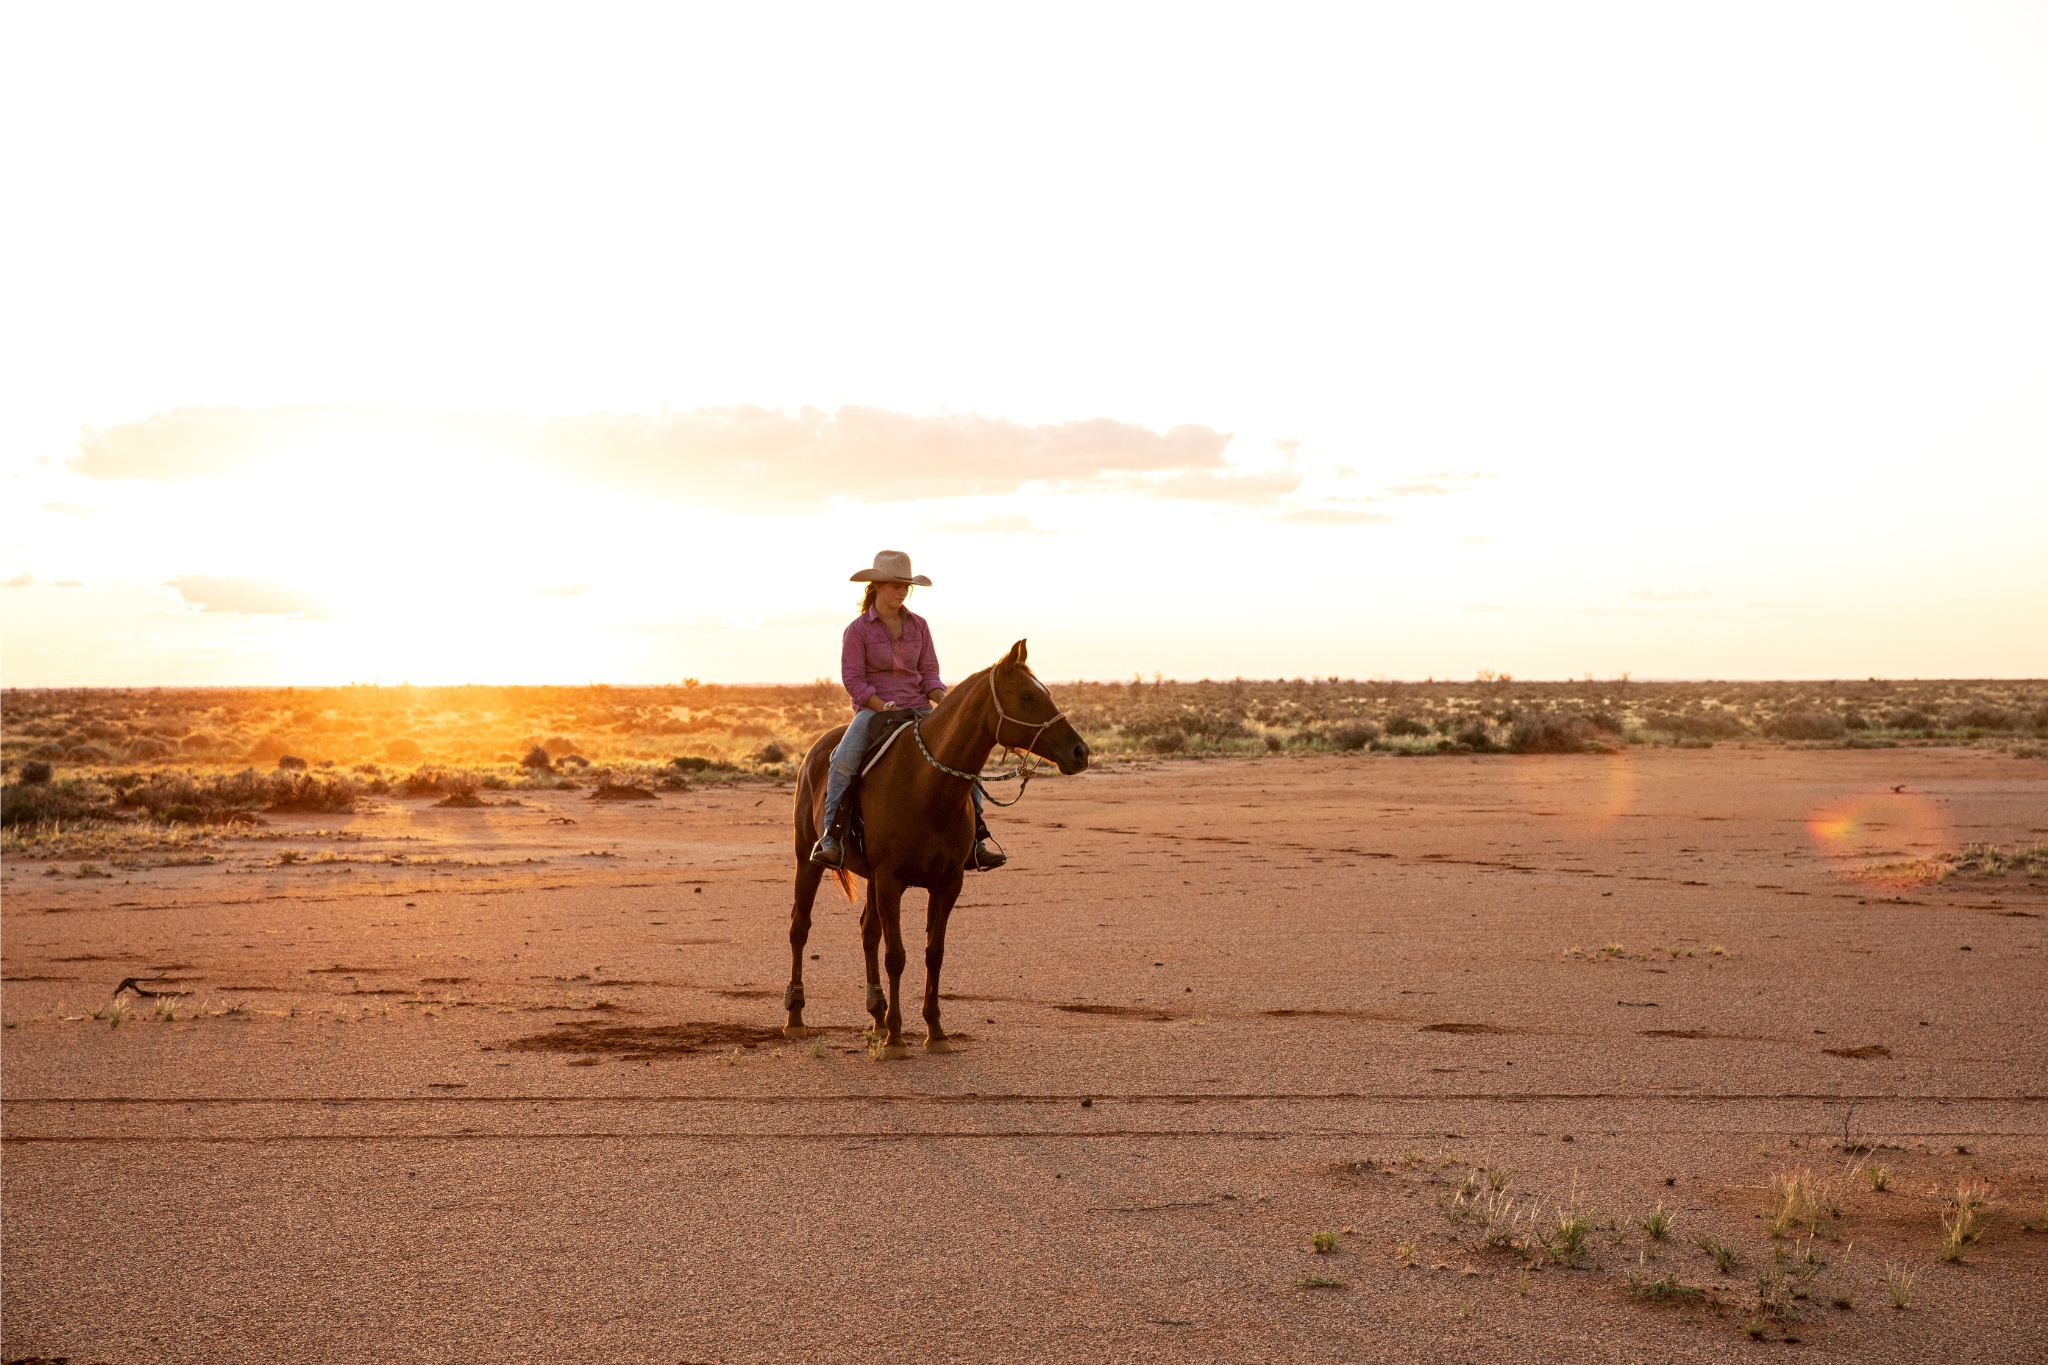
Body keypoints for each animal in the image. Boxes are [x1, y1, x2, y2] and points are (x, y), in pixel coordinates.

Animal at [786, 638, 1097, 1055]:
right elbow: (896, 956)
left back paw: (876, 1014)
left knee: (868, 931)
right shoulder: (891, 881)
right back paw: (796, 1016)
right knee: (800, 927)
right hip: (809, 859)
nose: (1080, 752)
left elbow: (934, 954)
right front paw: (897, 1037)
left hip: (869, 877)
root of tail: (816, 750)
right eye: (1028, 696)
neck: (927, 786)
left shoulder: (947, 884)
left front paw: (934, 1031)